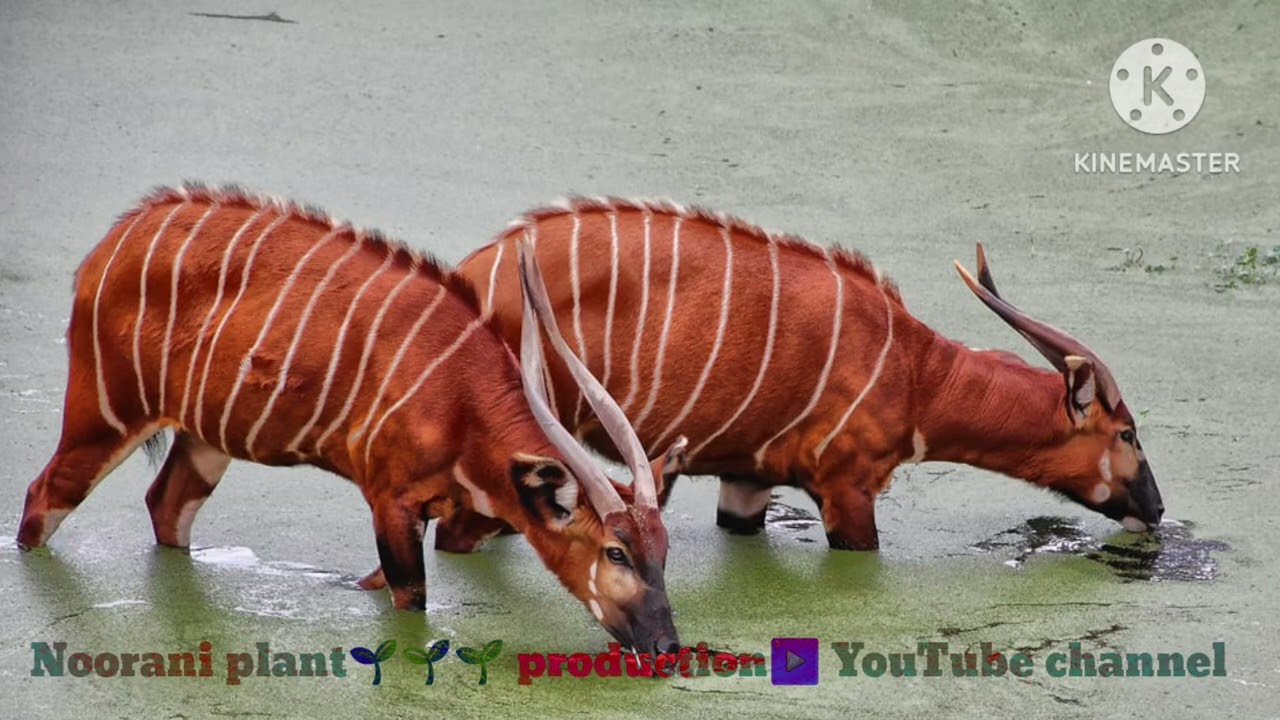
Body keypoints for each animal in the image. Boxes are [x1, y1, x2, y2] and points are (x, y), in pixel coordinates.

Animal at [15, 184, 687, 655]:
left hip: (206, 441)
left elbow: (374, 584)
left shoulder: (412, 515)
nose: (666, 646)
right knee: (42, 498)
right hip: (104, 417)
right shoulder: (390, 502)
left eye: (664, 549)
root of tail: (114, 241)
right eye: (616, 552)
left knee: (165, 504)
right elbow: (410, 603)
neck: (461, 395)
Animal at [436, 197, 1164, 552]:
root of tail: (467, 272)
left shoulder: (747, 480)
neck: (917, 371)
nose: (1156, 509)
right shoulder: (848, 491)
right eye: (1128, 433)